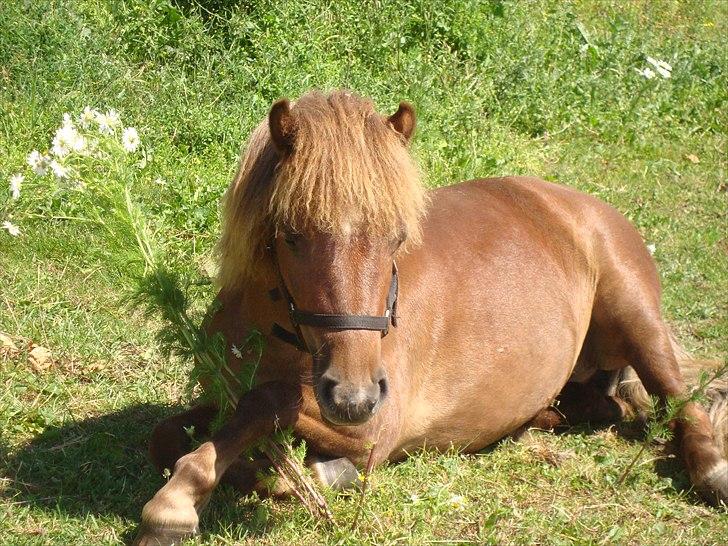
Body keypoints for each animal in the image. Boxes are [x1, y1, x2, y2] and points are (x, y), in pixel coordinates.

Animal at [135, 91, 728, 540]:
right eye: (293, 236)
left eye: (397, 238)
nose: (354, 397)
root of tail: (575, 203)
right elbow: (170, 432)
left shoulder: (373, 429)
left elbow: (268, 404)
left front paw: (177, 503)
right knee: (604, 408)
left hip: (637, 316)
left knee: (681, 397)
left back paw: (712, 469)